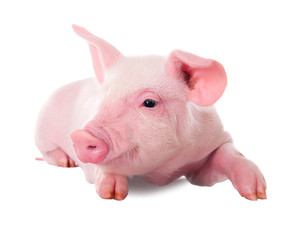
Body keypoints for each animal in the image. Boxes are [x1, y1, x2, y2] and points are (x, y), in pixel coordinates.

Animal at [34, 24, 266, 201]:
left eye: (149, 102)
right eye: (103, 97)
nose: (81, 136)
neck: (161, 172)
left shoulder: (213, 140)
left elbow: (228, 155)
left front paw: (257, 194)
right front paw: (112, 194)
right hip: (41, 130)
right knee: (47, 152)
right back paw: (66, 162)